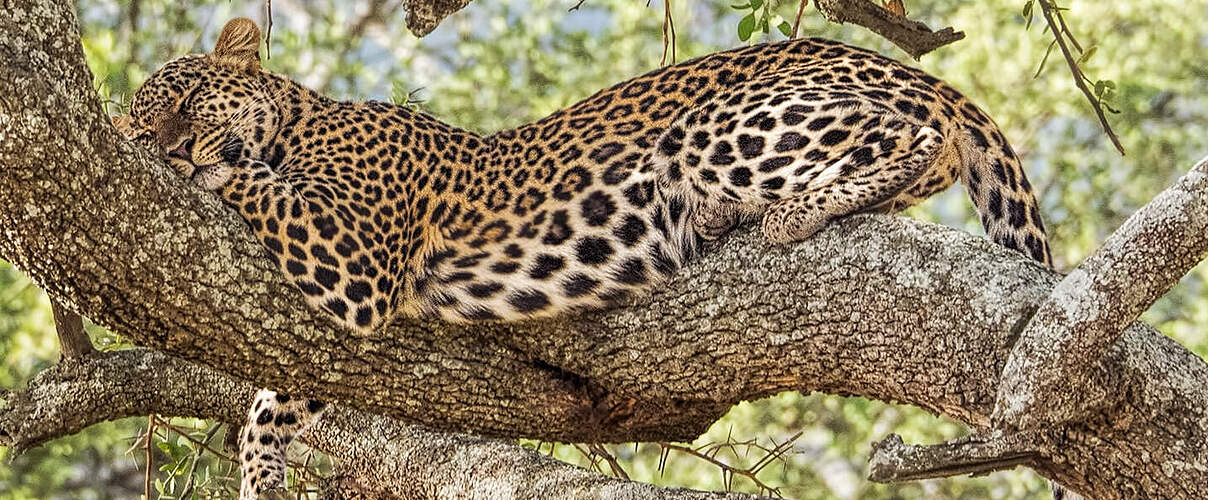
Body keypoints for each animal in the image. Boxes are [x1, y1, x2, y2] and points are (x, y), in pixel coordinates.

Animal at [116, 17, 1051, 499]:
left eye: (188, 98)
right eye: (135, 124)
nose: (163, 148)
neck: (303, 120)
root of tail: (879, 59)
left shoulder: (356, 255)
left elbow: (250, 186)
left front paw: (215, 167)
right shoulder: (337, 329)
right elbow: (276, 397)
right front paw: (260, 473)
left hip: (715, 130)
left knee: (914, 138)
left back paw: (790, 213)